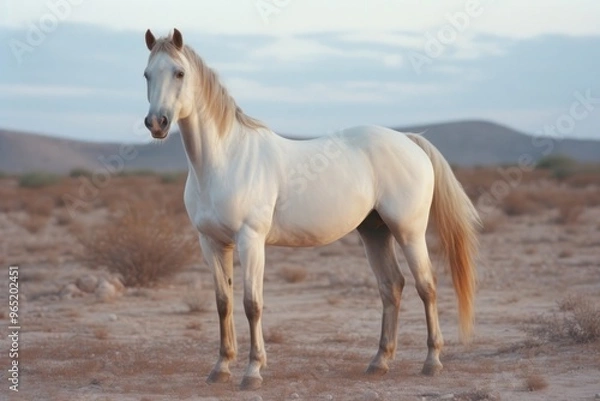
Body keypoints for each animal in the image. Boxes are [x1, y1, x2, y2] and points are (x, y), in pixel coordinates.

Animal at [143, 28, 480, 390]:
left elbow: (252, 304)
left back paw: (432, 361)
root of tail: (409, 140)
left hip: (409, 232)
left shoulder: (251, 240)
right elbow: (223, 303)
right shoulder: (212, 243)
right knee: (392, 286)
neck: (224, 160)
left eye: (179, 73)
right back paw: (379, 362)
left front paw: (253, 371)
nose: (157, 123)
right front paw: (221, 367)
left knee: (426, 286)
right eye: (147, 74)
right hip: (375, 233)